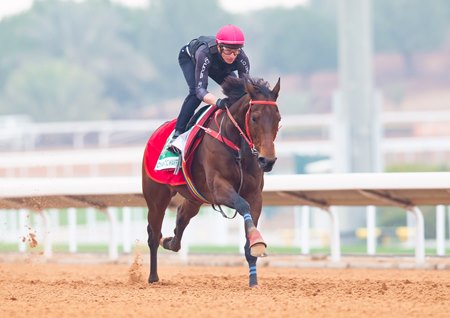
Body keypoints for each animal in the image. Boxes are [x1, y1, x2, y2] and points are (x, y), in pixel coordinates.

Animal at [142, 76, 282, 286]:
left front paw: (253, 279)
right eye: (254, 117)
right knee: (153, 234)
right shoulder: (218, 189)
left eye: (278, 118)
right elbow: (243, 204)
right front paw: (257, 241)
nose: (267, 160)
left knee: (181, 218)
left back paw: (169, 241)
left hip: (195, 197)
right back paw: (153, 277)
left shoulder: (255, 194)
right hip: (156, 198)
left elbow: (250, 217)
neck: (237, 147)